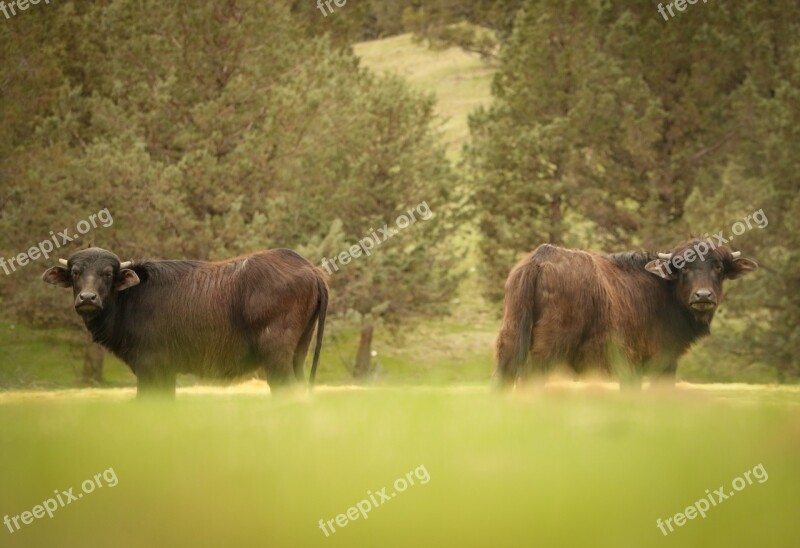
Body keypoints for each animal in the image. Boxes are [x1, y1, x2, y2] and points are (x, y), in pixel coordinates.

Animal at [39, 248, 328, 398]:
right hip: (299, 353)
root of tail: (310, 269)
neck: (130, 299)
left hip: (276, 356)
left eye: (107, 273)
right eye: (76, 272)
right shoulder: (166, 370)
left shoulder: (149, 366)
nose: (88, 298)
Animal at [496, 238, 760, 388]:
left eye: (718, 266)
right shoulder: (656, 363)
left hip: (510, 340)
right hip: (548, 350)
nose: (703, 296)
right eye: (684, 267)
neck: (663, 292)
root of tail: (540, 259)